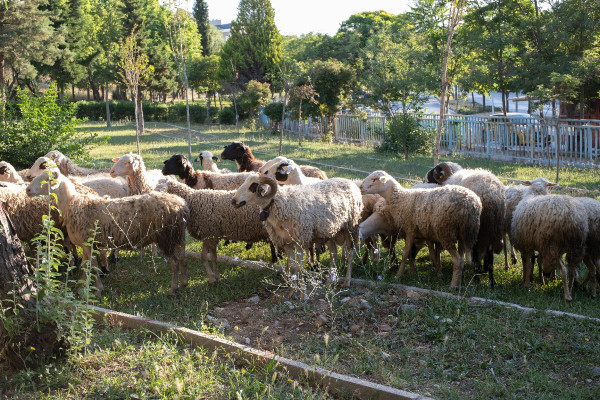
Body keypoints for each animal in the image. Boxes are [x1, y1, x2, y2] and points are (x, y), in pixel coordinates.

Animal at [25, 170, 189, 296]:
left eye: (47, 179)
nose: (27, 190)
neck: (73, 204)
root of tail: (180, 204)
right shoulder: (85, 244)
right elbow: (85, 265)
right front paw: (82, 287)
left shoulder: (88, 243)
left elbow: (93, 266)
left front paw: (97, 289)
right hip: (177, 235)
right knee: (182, 258)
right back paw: (184, 283)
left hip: (166, 236)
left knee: (174, 263)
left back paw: (173, 289)